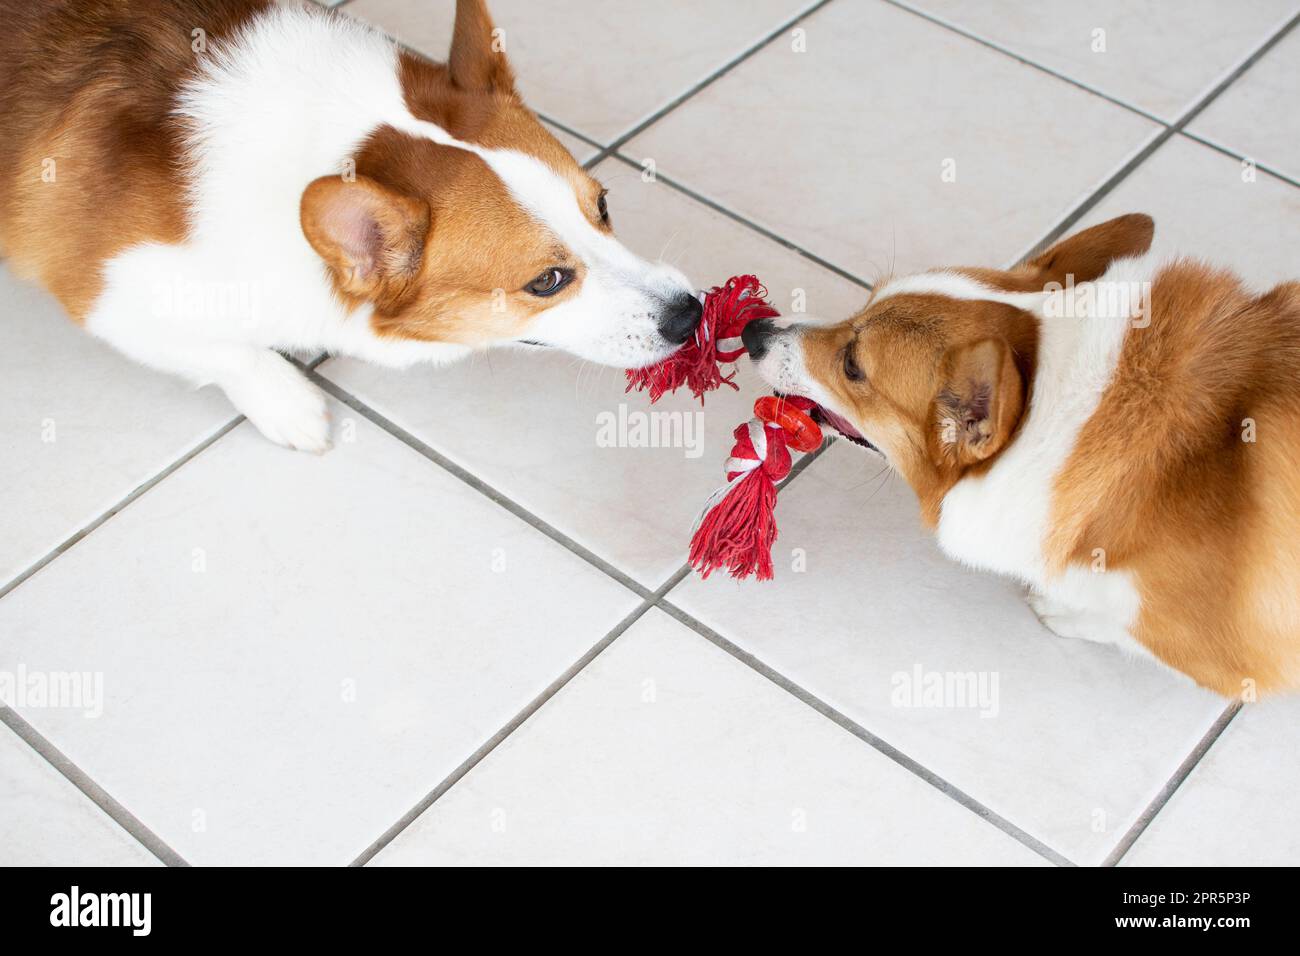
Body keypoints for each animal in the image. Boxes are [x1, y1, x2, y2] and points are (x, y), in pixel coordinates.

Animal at [0, 0, 702, 452]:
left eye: (603, 207)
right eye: (548, 280)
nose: (691, 314)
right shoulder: (108, 295)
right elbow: (227, 349)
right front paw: (289, 405)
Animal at [743, 214, 1300, 697]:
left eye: (853, 366)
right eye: (865, 300)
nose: (753, 332)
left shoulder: (1215, 649)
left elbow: (1118, 624)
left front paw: (1062, 610)